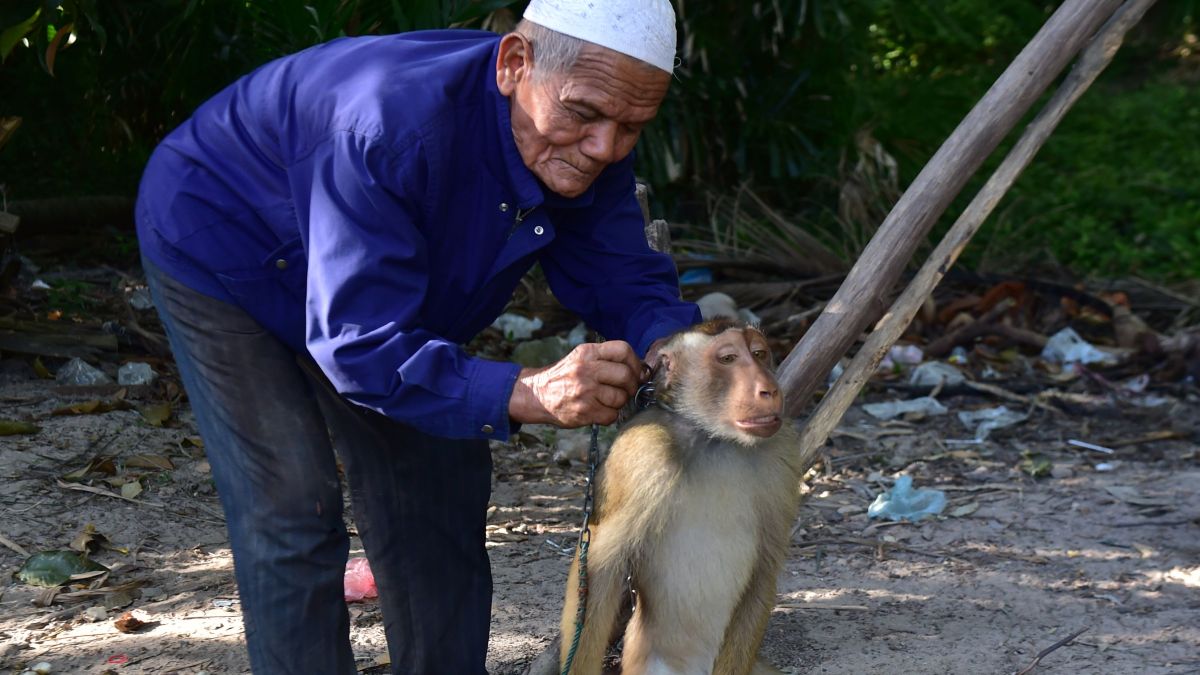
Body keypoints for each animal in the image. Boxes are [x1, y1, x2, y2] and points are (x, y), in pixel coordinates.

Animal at [558, 318, 811, 675]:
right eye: (728, 359)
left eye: (760, 354)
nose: (769, 389)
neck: (712, 437)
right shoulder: (644, 452)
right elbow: (598, 566)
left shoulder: (782, 452)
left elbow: (765, 566)